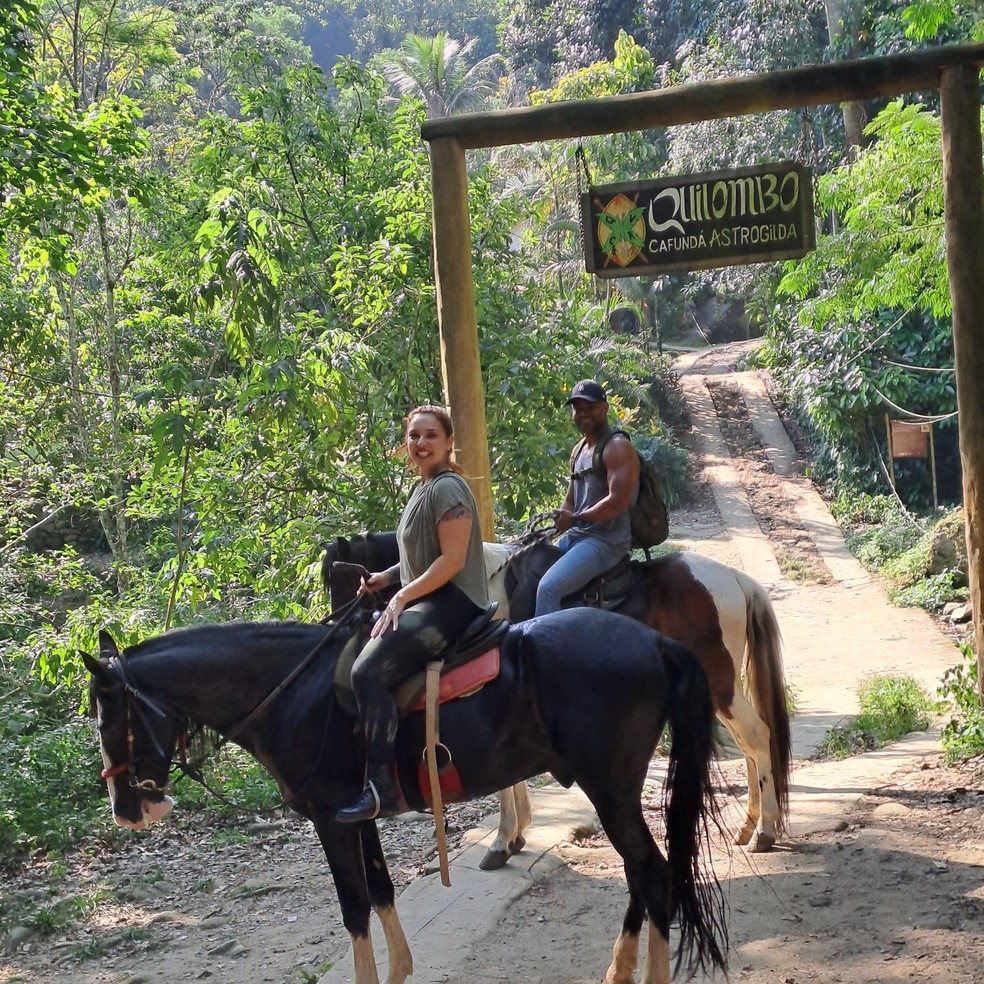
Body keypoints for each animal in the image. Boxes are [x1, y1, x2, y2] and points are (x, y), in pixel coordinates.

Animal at [86, 612, 732, 980]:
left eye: (108, 718)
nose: (127, 811)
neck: (292, 694)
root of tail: (655, 641)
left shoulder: (331, 819)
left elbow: (352, 906)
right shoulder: (360, 816)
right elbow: (380, 890)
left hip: (610, 788)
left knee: (652, 874)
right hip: (615, 792)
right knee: (643, 874)